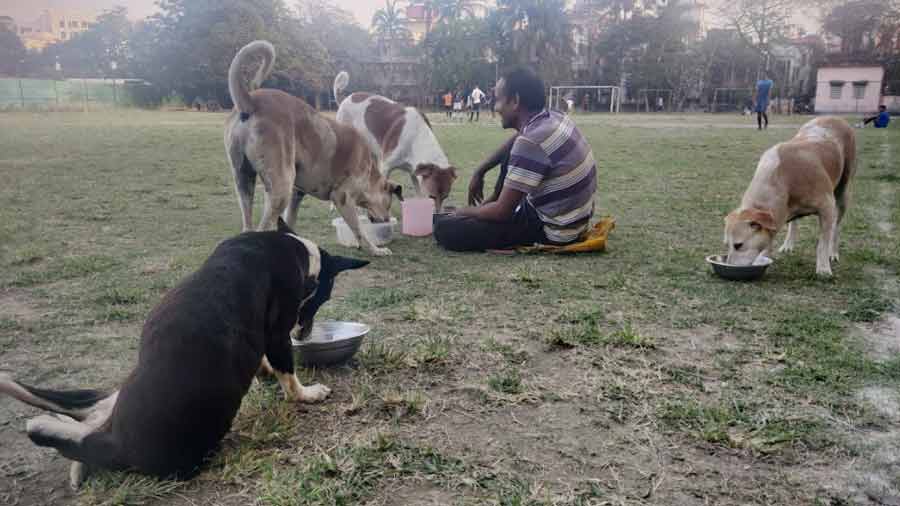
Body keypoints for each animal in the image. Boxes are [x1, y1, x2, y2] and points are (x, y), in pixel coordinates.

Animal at [0, 219, 370, 488]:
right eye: (324, 296)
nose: (304, 334)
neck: (291, 247)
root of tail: (118, 442)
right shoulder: (278, 333)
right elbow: (288, 376)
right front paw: (307, 393)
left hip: (105, 402)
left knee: (75, 424)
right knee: (69, 435)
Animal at [222, 42, 400, 256]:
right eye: (389, 202)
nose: (386, 220)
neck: (369, 171)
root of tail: (250, 101)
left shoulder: (296, 194)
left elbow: (289, 221)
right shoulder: (342, 198)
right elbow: (359, 230)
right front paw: (376, 249)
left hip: (244, 179)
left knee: (248, 224)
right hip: (281, 187)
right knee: (261, 228)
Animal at [332, 71, 458, 211]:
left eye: (445, 197)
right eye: (432, 196)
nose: (437, 214)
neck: (416, 136)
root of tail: (345, 99)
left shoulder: (414, 172)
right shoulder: (385, 167)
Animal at [724, 115, 856, 276]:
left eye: (738, 245)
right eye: (726, 244)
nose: (729, 267)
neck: (781, 176)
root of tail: (834, 117)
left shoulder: (827, 207)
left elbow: (823, 243)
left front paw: (823, 268)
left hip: (843, 190)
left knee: (836, 226)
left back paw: (833, 252)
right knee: (794, 222)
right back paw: (788, 244)